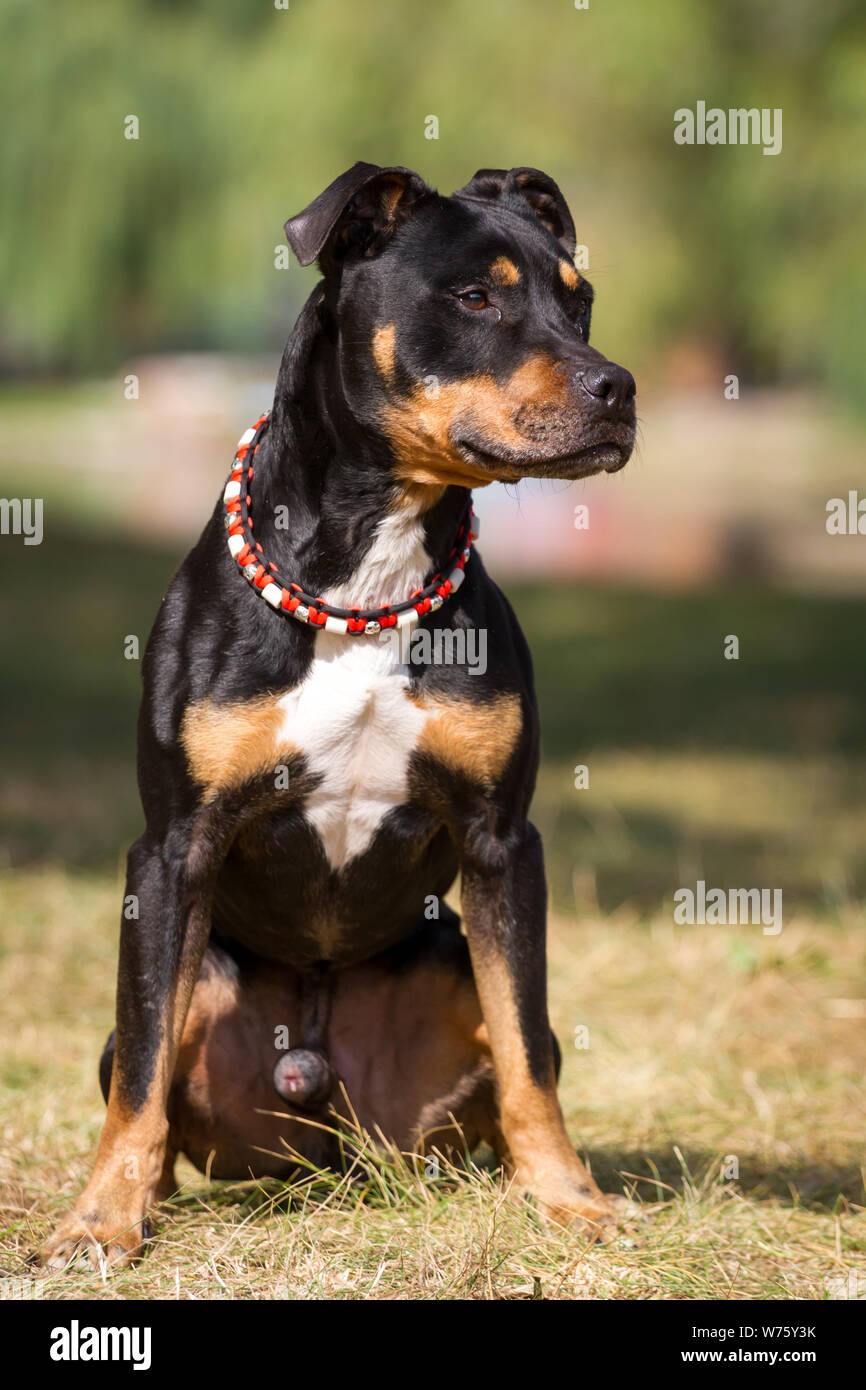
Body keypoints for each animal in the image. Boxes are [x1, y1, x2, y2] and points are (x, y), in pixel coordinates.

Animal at [40, 162, 636, 1273]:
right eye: (475, 298)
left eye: (577, 301)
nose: (616, 386)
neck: (368, 577)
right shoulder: (172, 848)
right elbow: (141, 1072)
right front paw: (99, 1220)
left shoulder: (502, 842)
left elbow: (526, 1048)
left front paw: (569, 1199)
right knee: (149, 1071)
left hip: (445, 964)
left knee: (513, 1052)